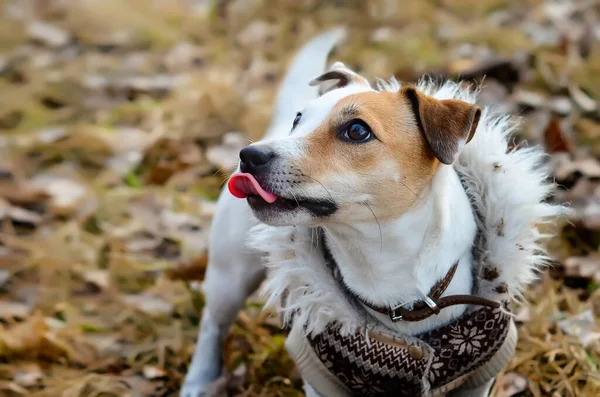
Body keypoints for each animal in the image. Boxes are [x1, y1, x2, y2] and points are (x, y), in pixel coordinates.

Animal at [182, 27, 564, 396]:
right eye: (298, 120)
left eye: (356, 130)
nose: (248, 156)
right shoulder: (322, 376)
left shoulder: (478, 378)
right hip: (229, 273)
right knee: (212, 324)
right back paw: (198, 381)